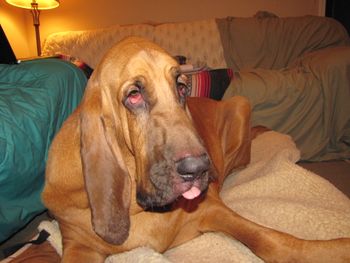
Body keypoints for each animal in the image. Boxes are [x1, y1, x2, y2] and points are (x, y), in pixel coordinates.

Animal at [43, 37, 350, 263]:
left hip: (241, 105)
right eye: (134, 95)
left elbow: (271, 240)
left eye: (181, 87)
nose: (199, 169)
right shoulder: (77, 245)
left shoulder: (213, 211)